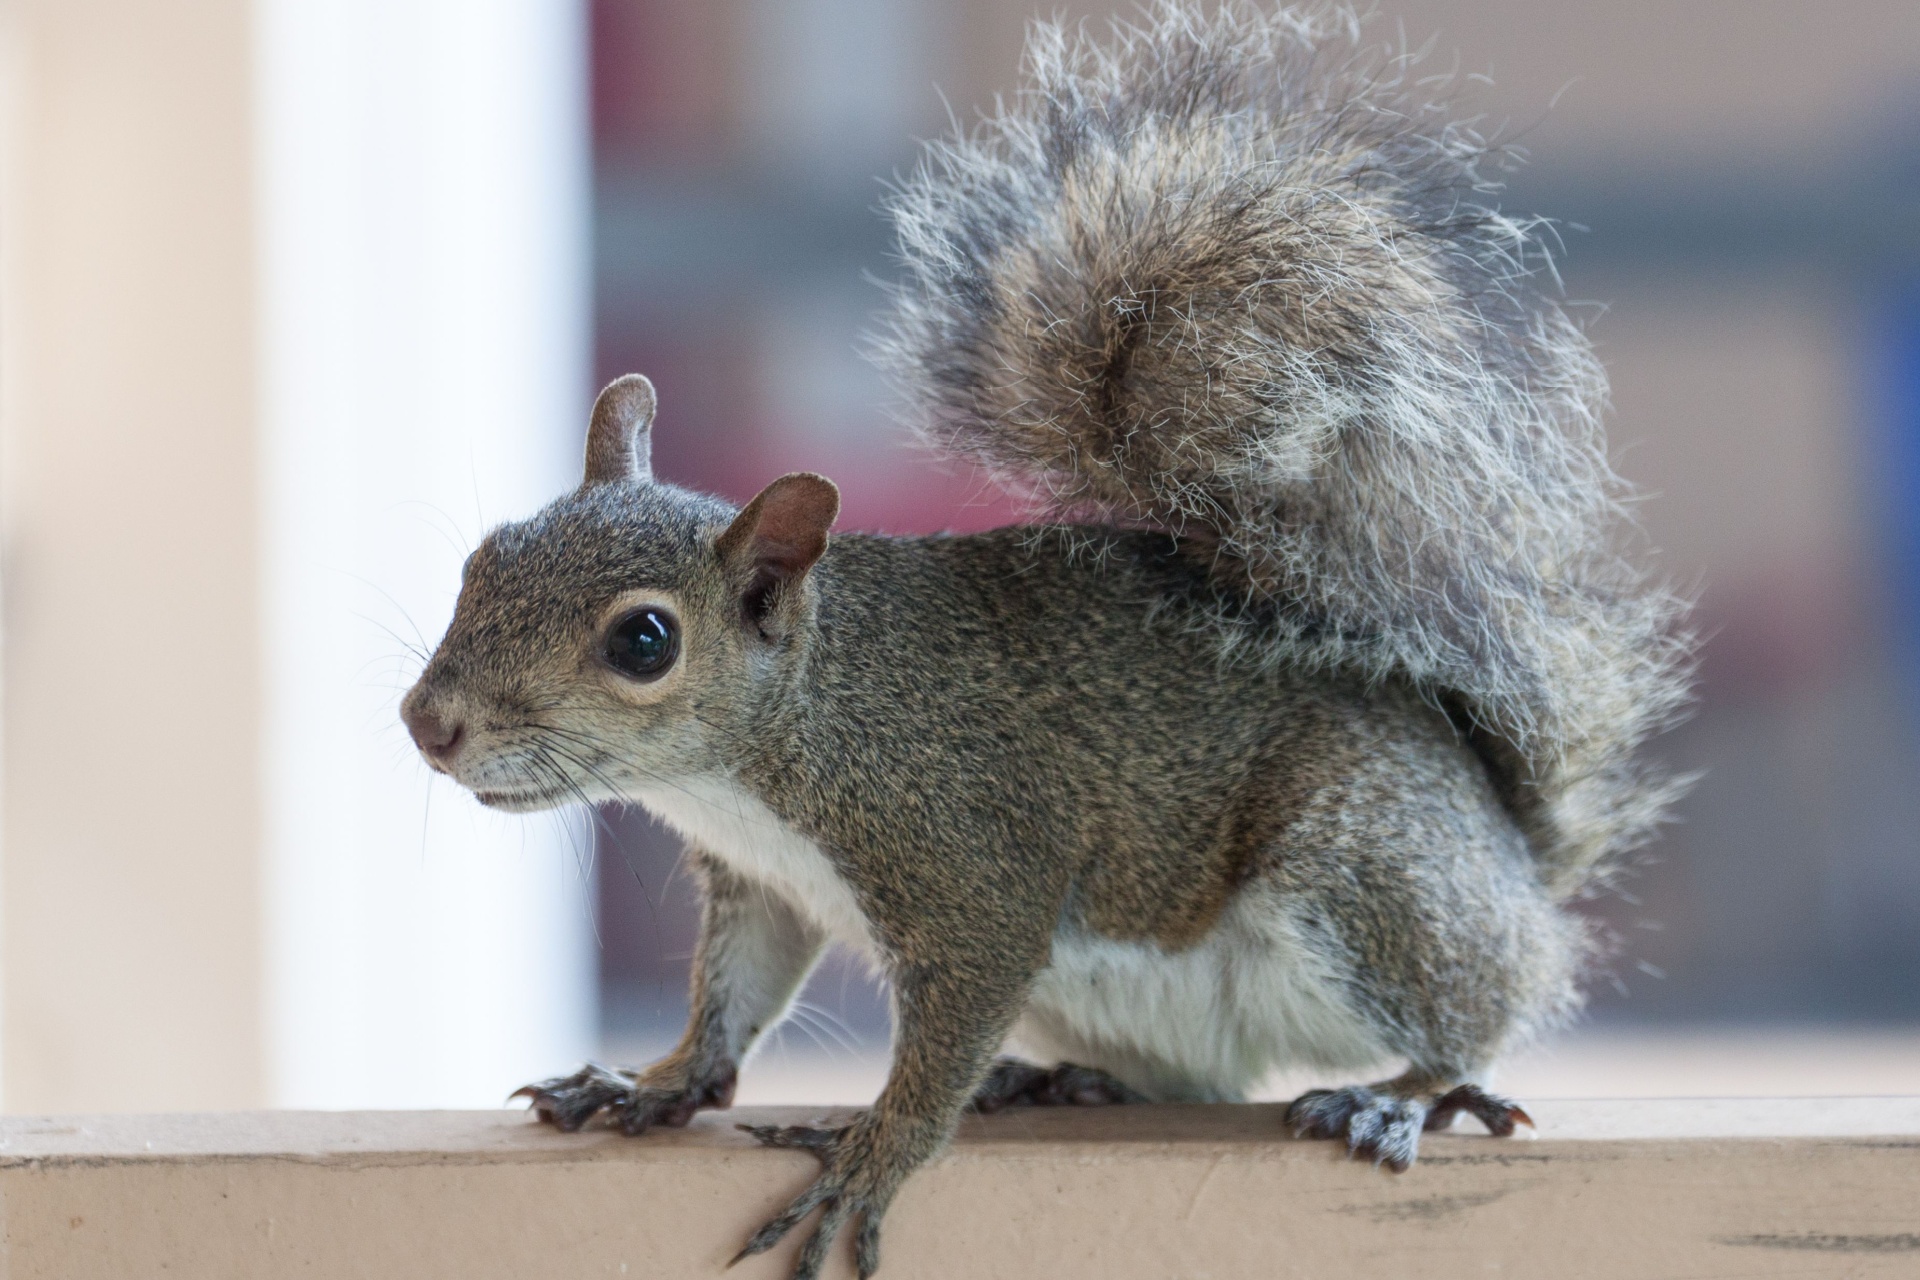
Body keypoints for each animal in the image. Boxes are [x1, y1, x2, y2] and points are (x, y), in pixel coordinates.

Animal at [399, 3, 1693, 1277]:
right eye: (485, 558)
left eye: (645, 640)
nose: (428, 723)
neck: (782, 740)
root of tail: (1519, 871)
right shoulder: (763, 886)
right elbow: (732, 1002)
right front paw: (651, 1081)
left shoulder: (972, 862)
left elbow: (942, 1035)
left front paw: (872, 1155)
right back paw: (1064, 1080)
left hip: (1363, 872)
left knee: (1467, 1022)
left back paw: (1401, 1094)